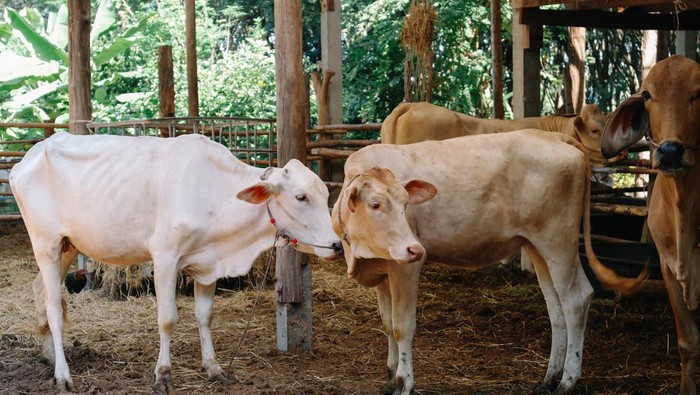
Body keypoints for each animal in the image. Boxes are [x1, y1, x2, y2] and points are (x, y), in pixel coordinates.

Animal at [8, 132, 342, 392]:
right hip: (46, 243)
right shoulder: (165, 257)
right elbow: (167, 319)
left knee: (40, 291)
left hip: (67, 245)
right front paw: (163, 375)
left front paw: (214, 367)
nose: (337, 245)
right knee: (54, 306)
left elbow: (205, 316)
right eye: (300, 197)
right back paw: (62, 375)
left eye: (325, 192)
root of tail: (26, 159)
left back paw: (49, 356)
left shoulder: (208, 266)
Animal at [334, 130, 644, 395]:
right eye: (375, 204)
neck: (360, 255)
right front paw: (389, 378)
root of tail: (555, 136)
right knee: (556, 310)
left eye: (405, 203)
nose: (415, 248)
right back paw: (548, 379)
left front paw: (403, 382)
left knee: (576, 299)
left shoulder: (405, 267)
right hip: (537, 248)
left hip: (558, 242)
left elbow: (402, 325)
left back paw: (567, 381)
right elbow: (387, 323)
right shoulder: (383, 269)